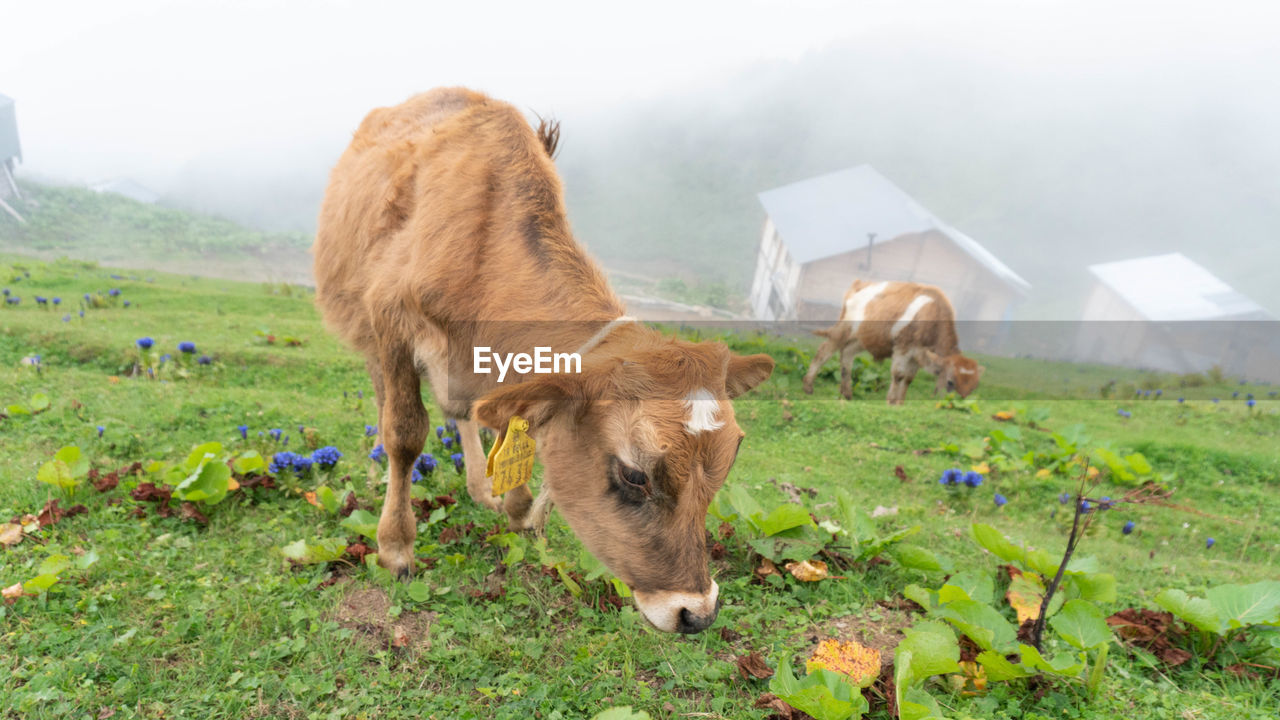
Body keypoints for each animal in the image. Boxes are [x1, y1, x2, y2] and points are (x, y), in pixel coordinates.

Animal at [312, 87, 768, 630]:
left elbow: (511, 435)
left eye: (729, 460)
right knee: (392, 406)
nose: (696, 612)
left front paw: (518, 511)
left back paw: (481, 488)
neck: (479, 245)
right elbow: (405, 433)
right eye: (634, 474)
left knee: (465, 413)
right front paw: (396, 547)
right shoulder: (390, 320)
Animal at [803, 279, 983, 404]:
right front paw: (890, 401)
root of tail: (861, 284)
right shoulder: (903, 347)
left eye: (974, 387)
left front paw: (899, 403)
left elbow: (908, 379)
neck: (932, 313)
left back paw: (846, 393)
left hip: (863, 338)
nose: (954, 403)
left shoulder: (917, 355)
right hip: (844, 329)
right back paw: (808, 386)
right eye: (950, 381)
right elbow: (898, 375)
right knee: (824, 351)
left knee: (847, 354)